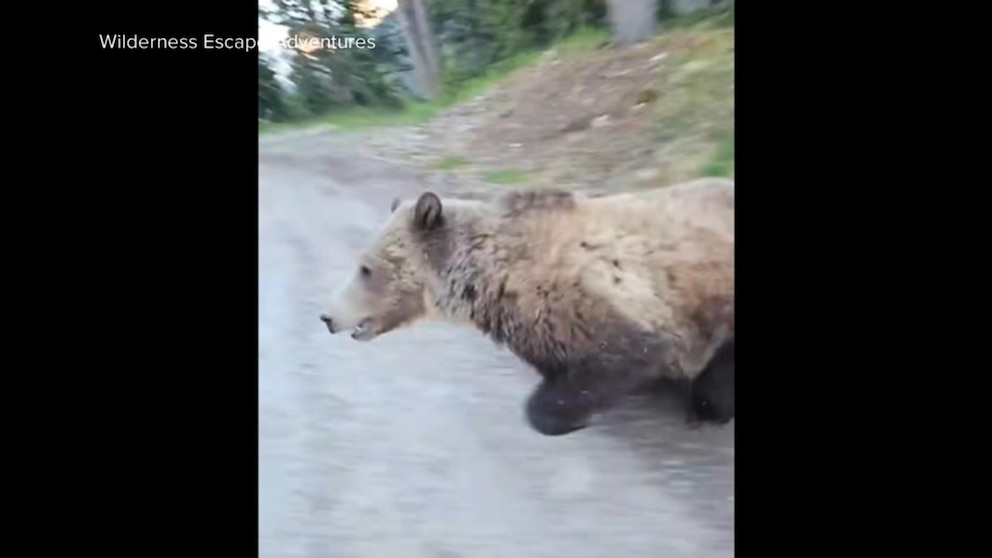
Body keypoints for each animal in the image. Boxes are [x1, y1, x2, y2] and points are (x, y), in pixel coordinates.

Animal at [319, 177, 735, 436]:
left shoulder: (605, 299)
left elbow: (629, 352)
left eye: (366, 268)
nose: (327, 316)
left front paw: (563, 413)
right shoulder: (534, 322)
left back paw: (705, 408)